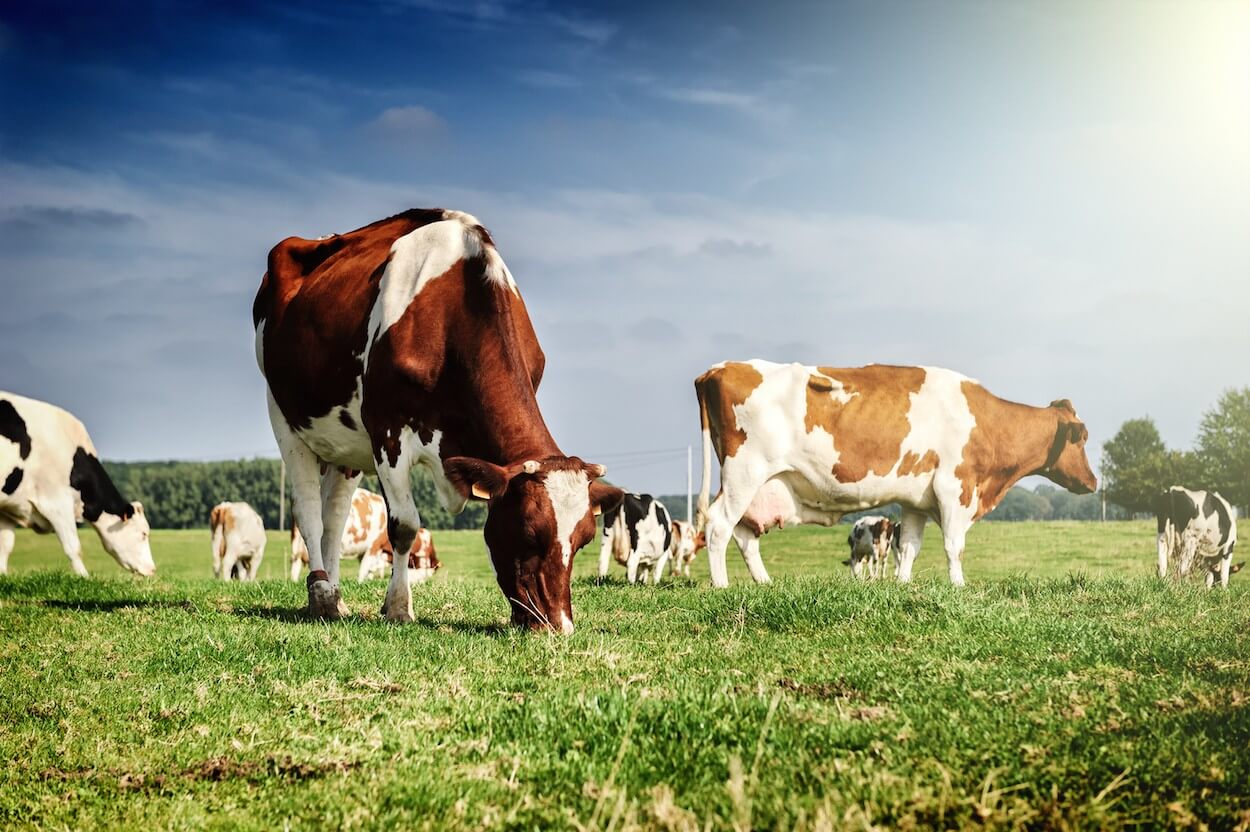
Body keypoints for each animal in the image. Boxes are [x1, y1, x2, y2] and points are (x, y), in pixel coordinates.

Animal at [0, 389, 155, 574]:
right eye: (144, 534)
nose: (153, 569)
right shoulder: (56, 503)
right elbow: (74, 548)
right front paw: (84, 577)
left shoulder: (9, 508)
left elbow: (5, 547)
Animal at [695, 359, 1095, 587]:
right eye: (1083, 437)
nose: (1093, 481)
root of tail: (720, 368)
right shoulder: (955, 487)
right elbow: (954, 546)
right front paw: (959, 587)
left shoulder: (917, 499)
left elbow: (910, 547)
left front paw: (902, 586)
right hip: (744, 473)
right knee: (719, 526)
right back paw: (722, 587)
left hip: (759, 484)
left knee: (744, 534)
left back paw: (765, 583)